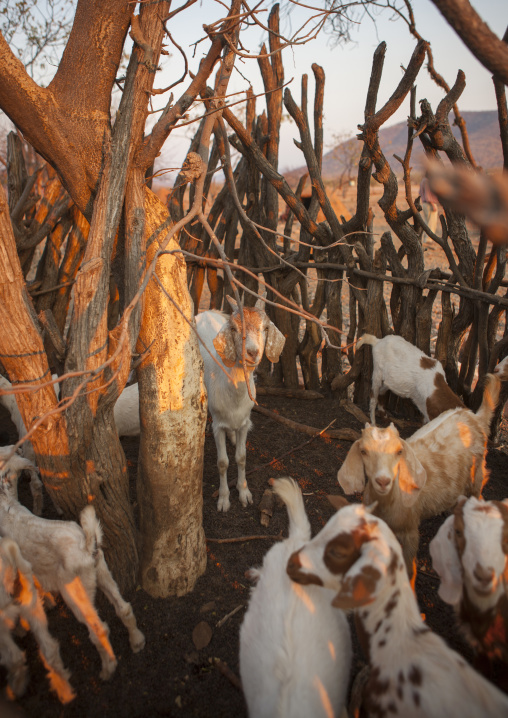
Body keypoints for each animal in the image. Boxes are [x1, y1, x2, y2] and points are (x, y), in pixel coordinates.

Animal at [0, 452, 145, 681]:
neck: (6, 504)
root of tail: (86, 546)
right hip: (102, 571)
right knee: (124, 608)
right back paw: (137, 641)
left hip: (76, 592)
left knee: (98, 628)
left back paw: (107, 668)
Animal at [0, 536, 74, 703]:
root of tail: (9, 552)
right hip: (30, 602)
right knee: (49, 649)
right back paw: (65, 691)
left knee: (15, 657)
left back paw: (15, 688)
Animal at [196, 298, 285, 512]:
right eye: (234, 328)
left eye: (265, 327)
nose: (252, 352)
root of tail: (207, 311)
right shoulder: (218, 425)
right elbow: (222, 462)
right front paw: (223, 500)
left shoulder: (245, 422)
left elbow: (242, 457)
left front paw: (244, 493)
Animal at [337, 374, 500, 576]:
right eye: (363, 451)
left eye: (399, 451)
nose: (383, 481)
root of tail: (475, 417)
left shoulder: (410, 531)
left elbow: (409, 568)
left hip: (476, 475)